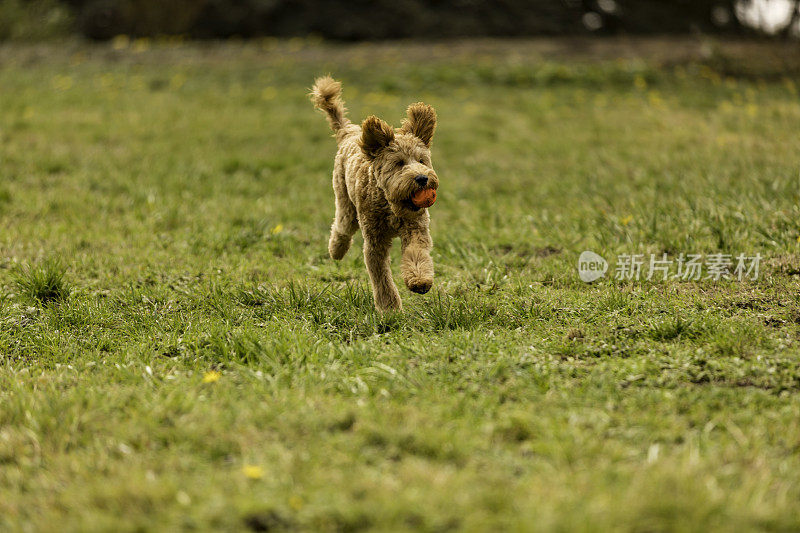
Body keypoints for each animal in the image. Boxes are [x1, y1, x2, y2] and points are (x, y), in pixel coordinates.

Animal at [310, 77, 440, 314]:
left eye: (421, 160)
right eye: (399, 163)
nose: (422, 178)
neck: (391, 206)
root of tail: (349, 131)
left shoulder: (416, 229)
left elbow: (417, 254)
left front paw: (420, 281)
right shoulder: (374, 241)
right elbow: (381, 277)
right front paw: (389, 308)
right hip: (345, 202)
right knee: (342, 226)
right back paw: (336, 250)